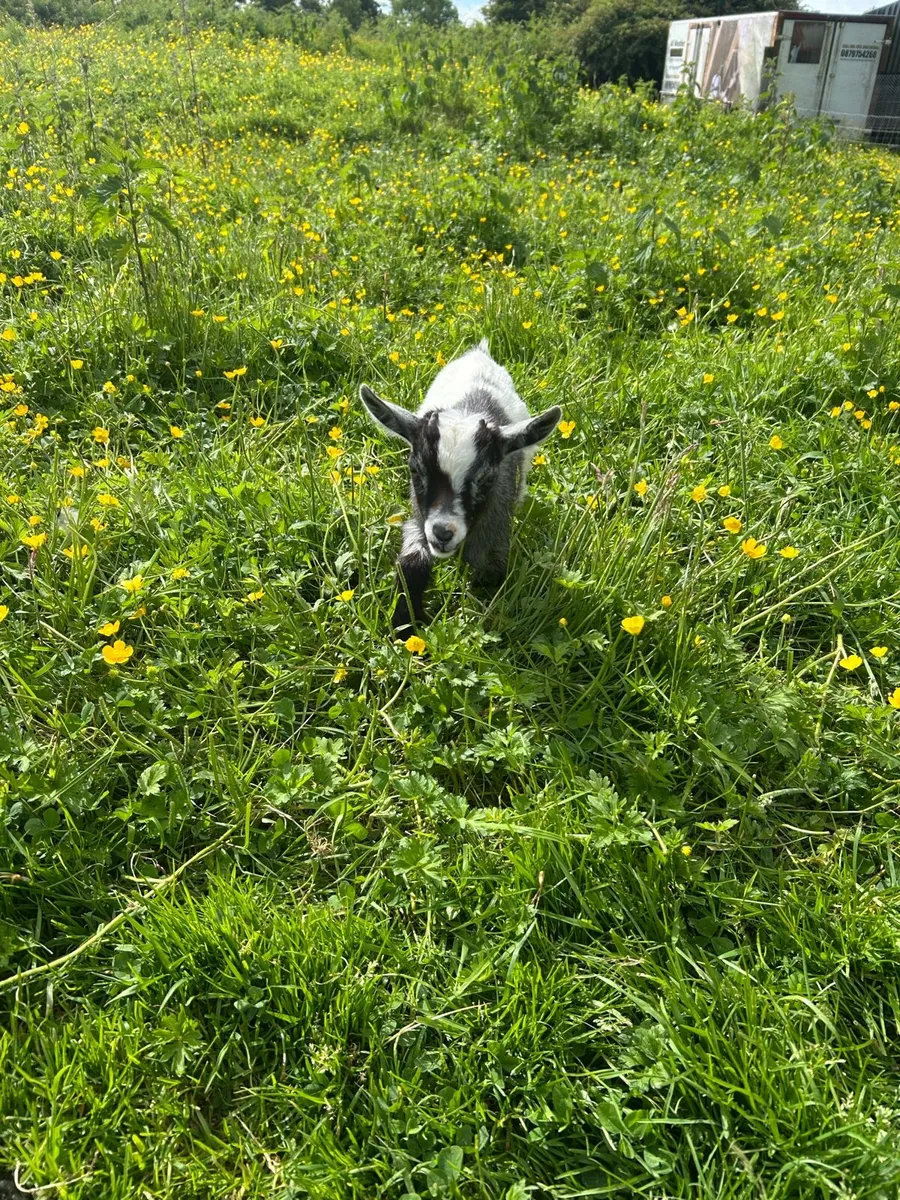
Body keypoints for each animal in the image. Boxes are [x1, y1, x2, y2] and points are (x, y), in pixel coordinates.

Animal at [360, 339, 561, 632]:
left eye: (488, 479)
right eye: (415, 470)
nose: (443, 533)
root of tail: (480, 352)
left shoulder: (494, 535)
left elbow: (486, 582)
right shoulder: (419, 519)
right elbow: (411, 564)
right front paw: (405, 627)